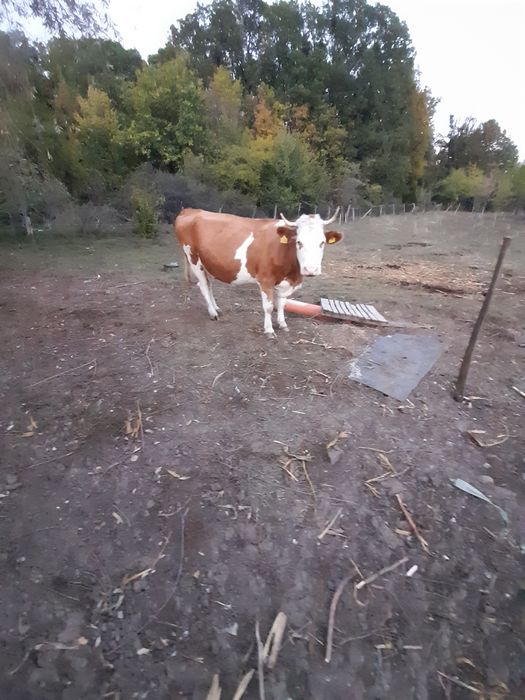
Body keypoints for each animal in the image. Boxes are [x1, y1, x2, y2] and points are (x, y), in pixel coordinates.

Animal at [174, 207, 343, 336]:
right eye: (299, 242)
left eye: (322, 243)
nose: (311, 269)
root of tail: (190, 210)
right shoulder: (265, 280)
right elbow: (268, 306)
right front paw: (269, 330)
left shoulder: (285, 282)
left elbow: (282, 304)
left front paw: (282, 323)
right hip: (193, 257)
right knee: (203, 285)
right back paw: (212, 313)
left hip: (206, 262)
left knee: (208, 285)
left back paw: (216, 308)